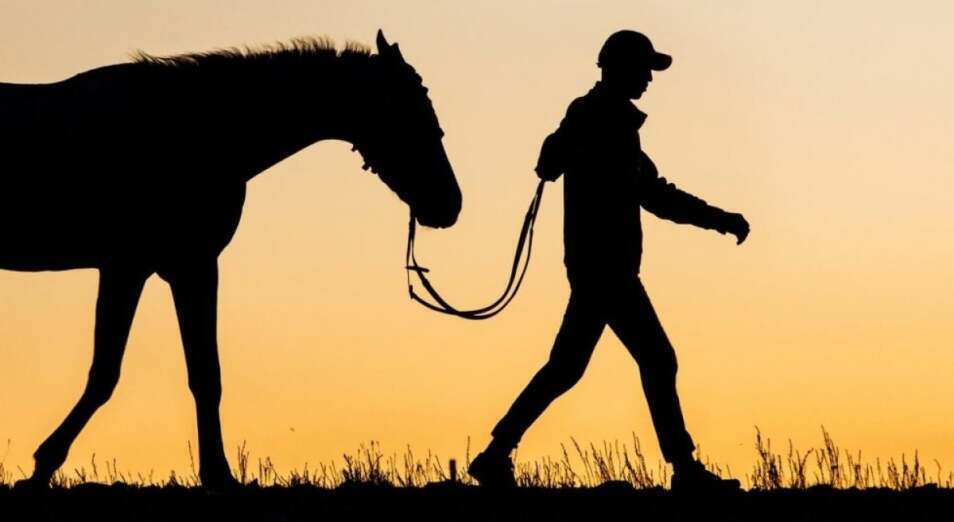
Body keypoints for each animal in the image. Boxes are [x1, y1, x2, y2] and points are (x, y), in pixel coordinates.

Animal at [1, 30, 461, 489]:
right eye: (410, 109)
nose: (450, 203)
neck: (201, 130)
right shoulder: (163, 265)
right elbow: (121, 373)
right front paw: (44, 464)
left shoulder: (162, 267)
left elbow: (194, 373)